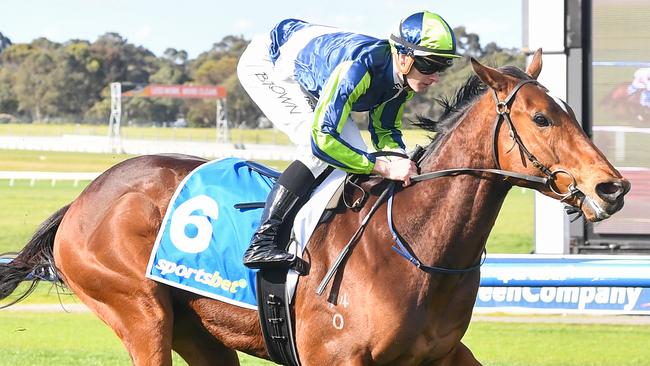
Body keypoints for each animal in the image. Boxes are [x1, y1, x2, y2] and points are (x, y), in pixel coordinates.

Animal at [0, 50, 628, 364]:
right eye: (542, 118)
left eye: (570, 111)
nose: (612, 188)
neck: (416, 246)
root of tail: (84, 198)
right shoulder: (334, 360)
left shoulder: (442, 357)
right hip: (140, 315)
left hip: (201, 334)